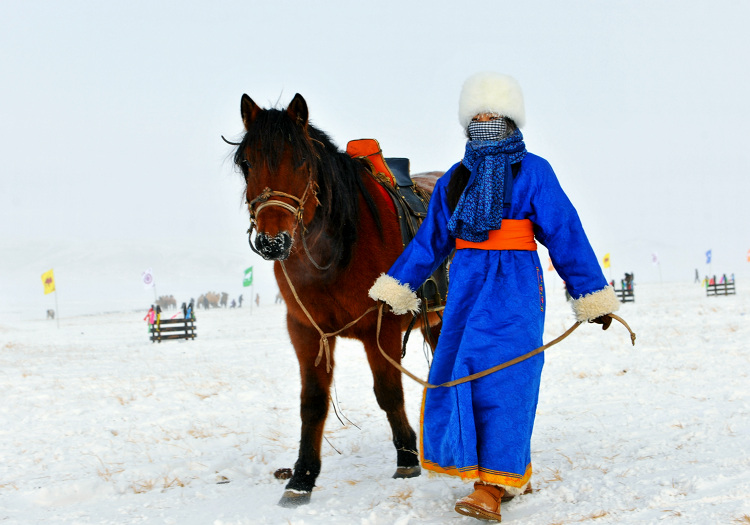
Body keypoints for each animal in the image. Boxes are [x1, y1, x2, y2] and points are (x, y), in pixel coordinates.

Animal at [232, 92, 444, 506]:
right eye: (247, 164)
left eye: (301, 161)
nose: (271, 242)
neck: (337, 252)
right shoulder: (306, 331)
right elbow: (312, 403)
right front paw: (302, 476)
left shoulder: (382, 328)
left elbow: (388, 393)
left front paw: (407, 458)